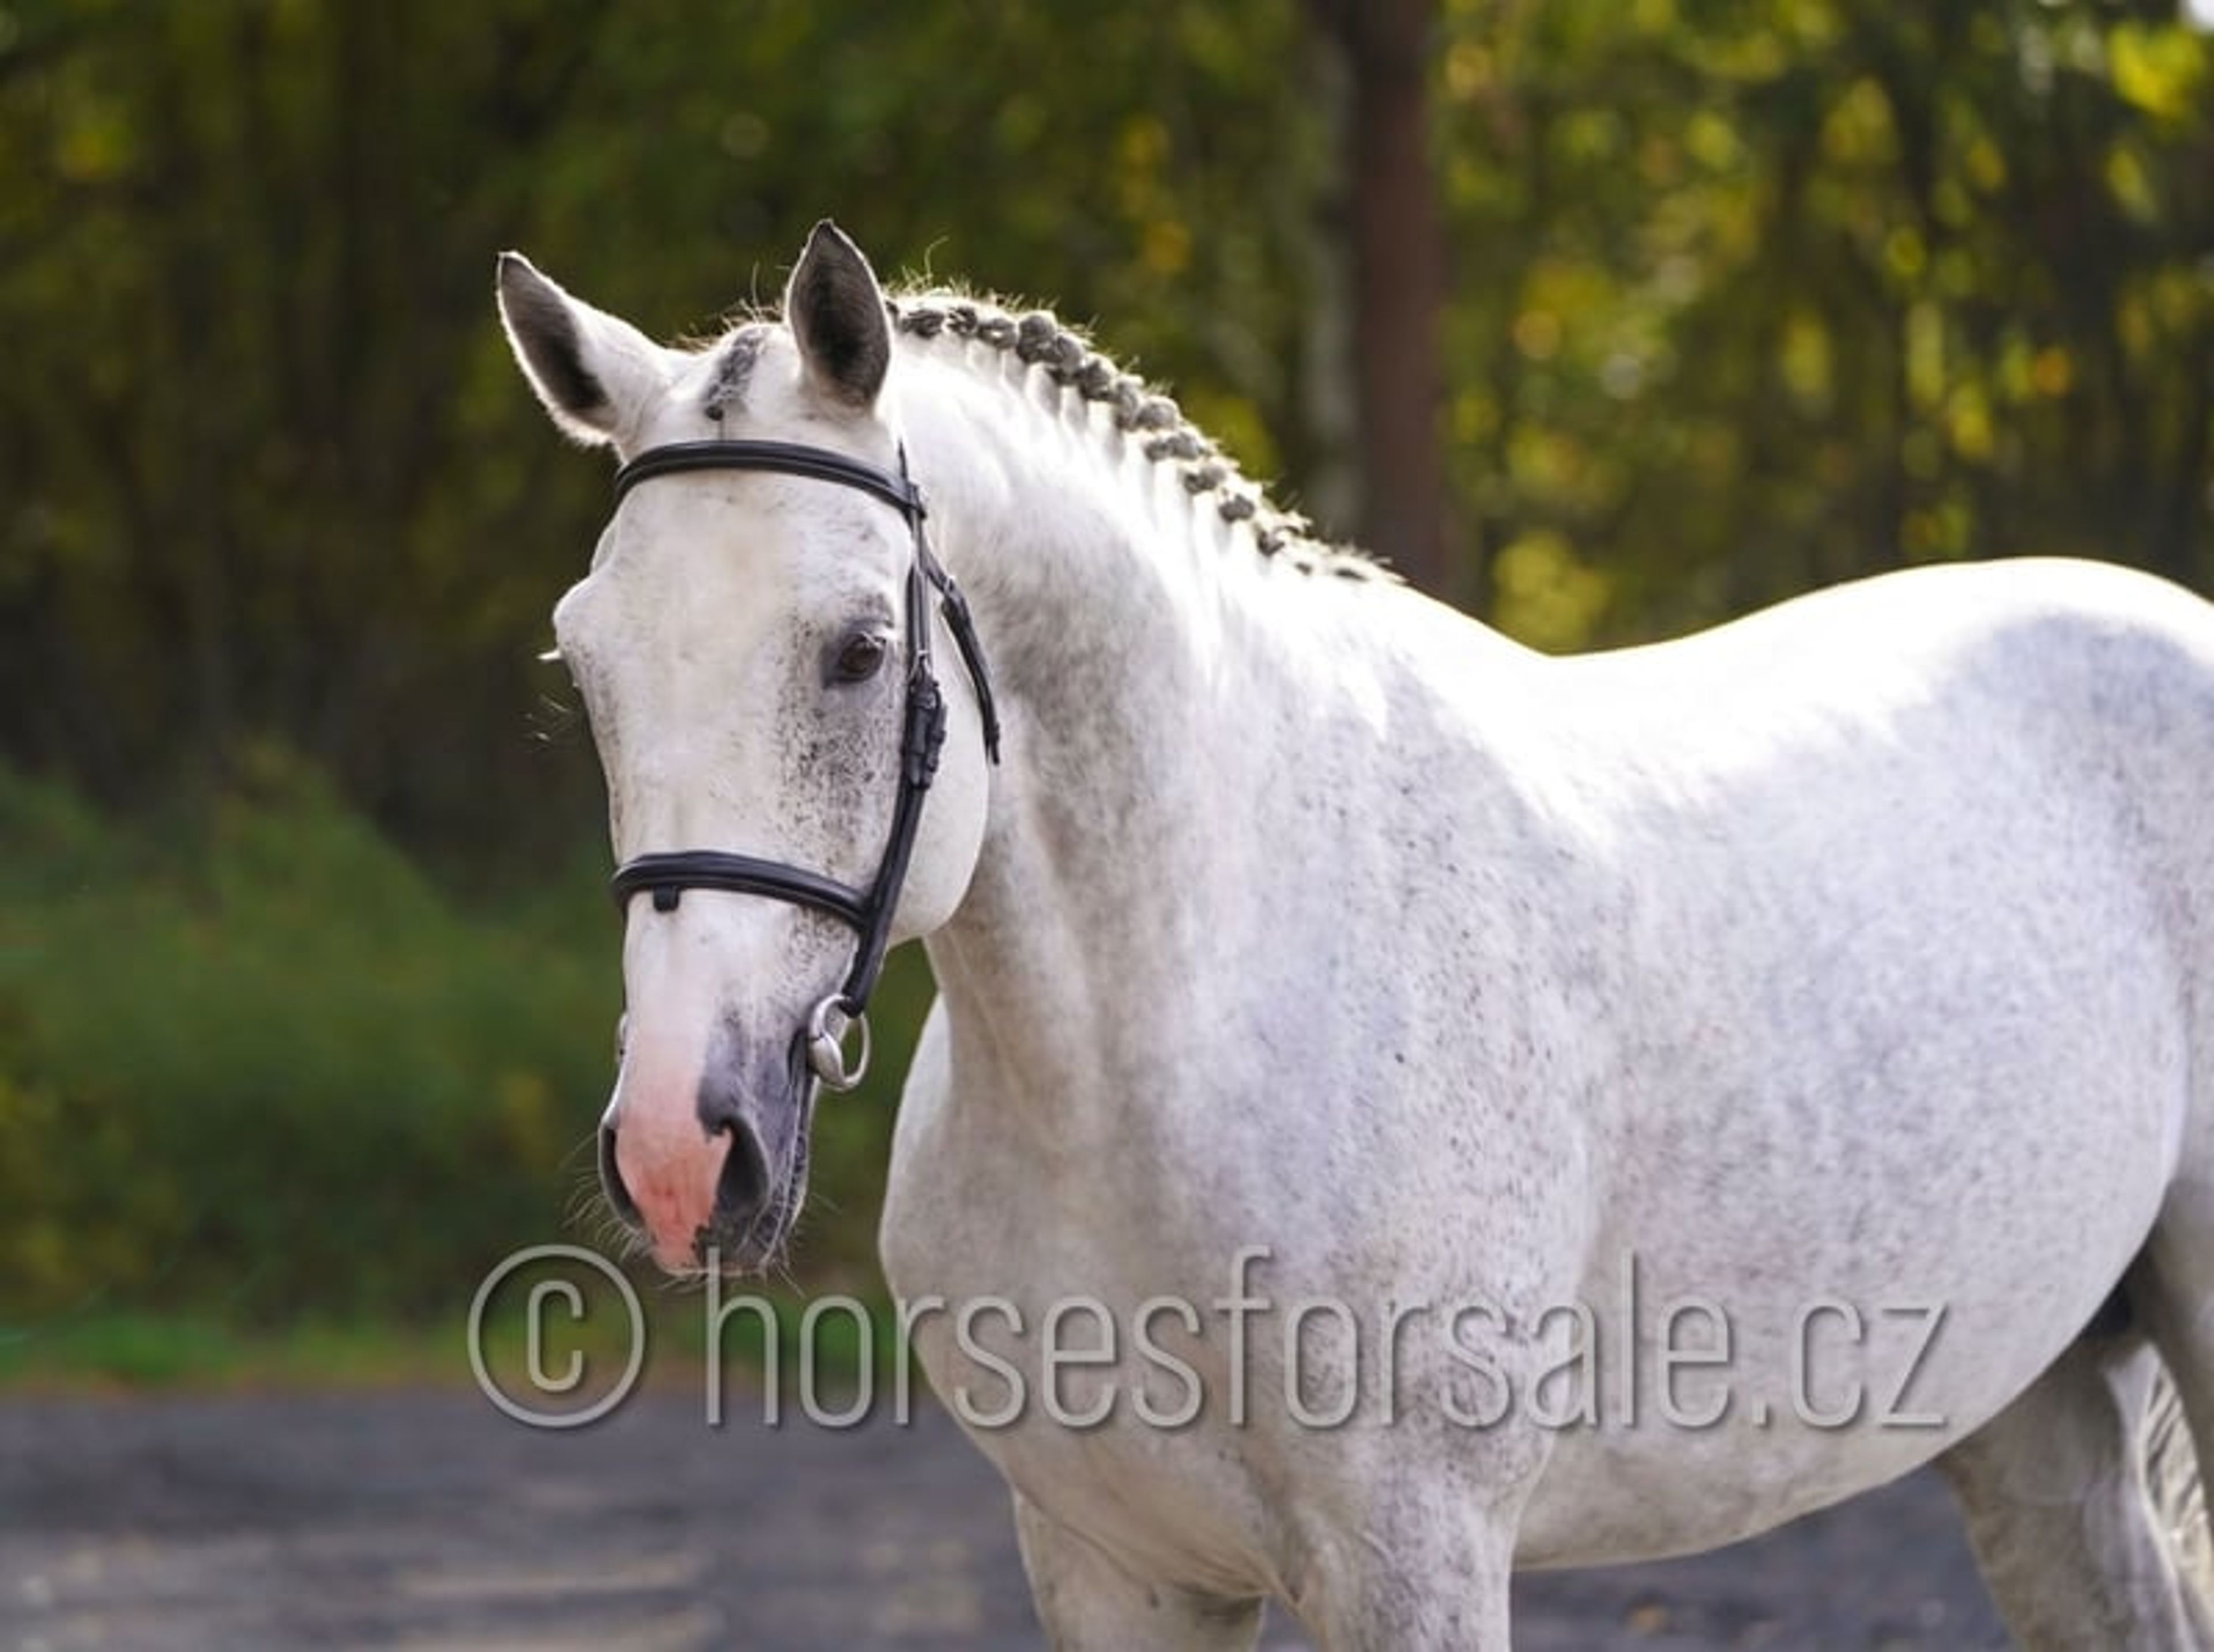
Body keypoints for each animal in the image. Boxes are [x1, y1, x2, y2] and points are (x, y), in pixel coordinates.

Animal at [497, 220, 2214, 1649]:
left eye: (855, 651)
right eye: (585, 663)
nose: (678, 1149)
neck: (1176, 1037)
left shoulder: (1417, 1561)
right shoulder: (1114, 1568)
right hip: (2034, 1414)